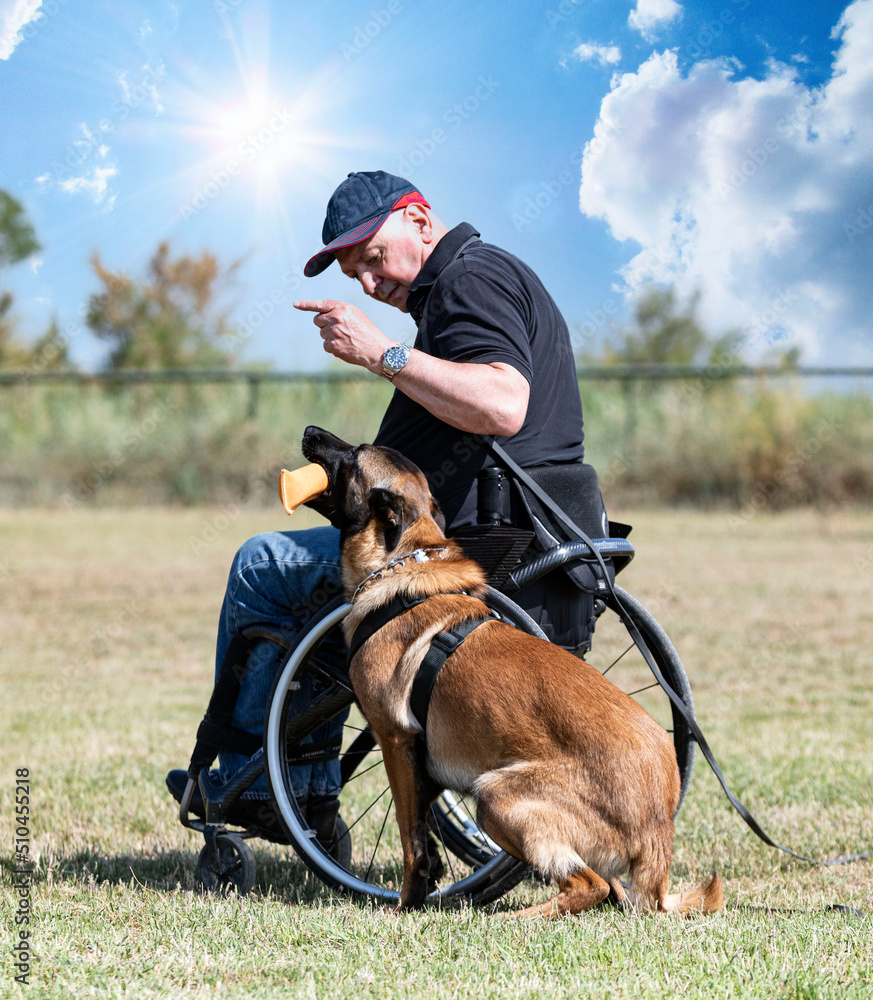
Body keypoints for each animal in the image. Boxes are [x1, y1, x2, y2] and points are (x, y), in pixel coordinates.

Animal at [300, 426, 724, 916]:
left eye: (354, 455)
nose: (310, 432)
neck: (403, 561)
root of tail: (657, 835)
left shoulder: (395, 740)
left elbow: (412, 842)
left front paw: (408, 902)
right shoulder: (421, 759)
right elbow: (425, 835)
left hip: (494, 796)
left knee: (590, 885)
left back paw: (516, 916)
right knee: (605, 887)